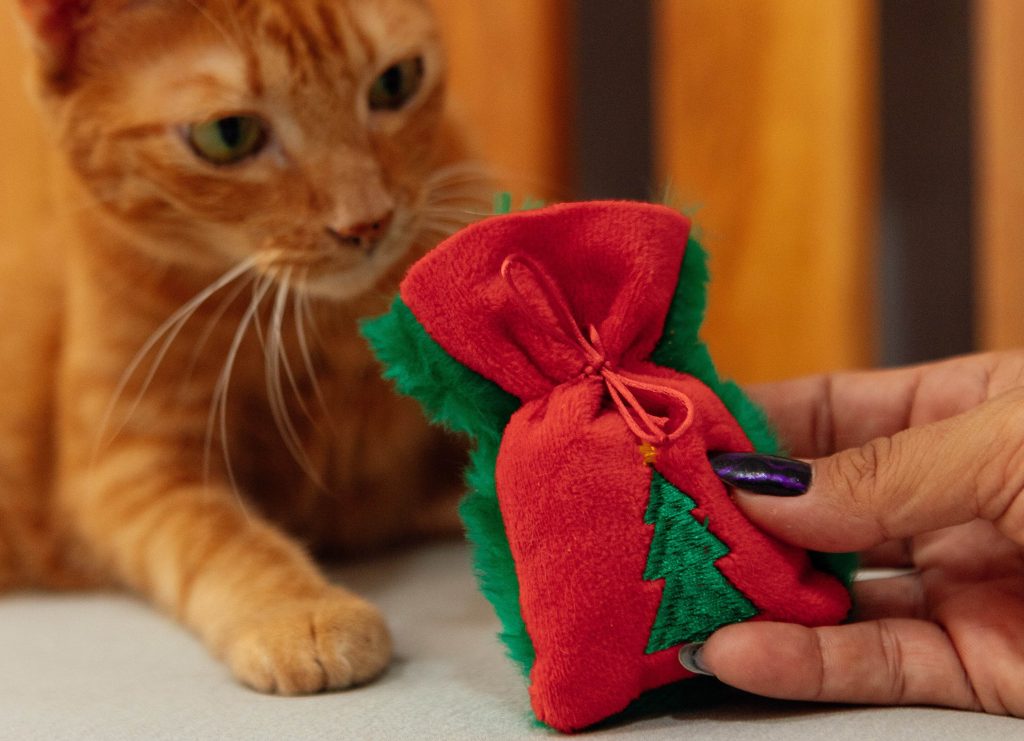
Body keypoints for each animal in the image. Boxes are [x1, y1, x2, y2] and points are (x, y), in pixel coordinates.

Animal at [0, 0, 483, 695]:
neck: (321, 324)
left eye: (396, 83)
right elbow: (217, 537)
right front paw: (300, 613)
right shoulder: (128, 469)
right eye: (228, 136)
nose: (367, 222)